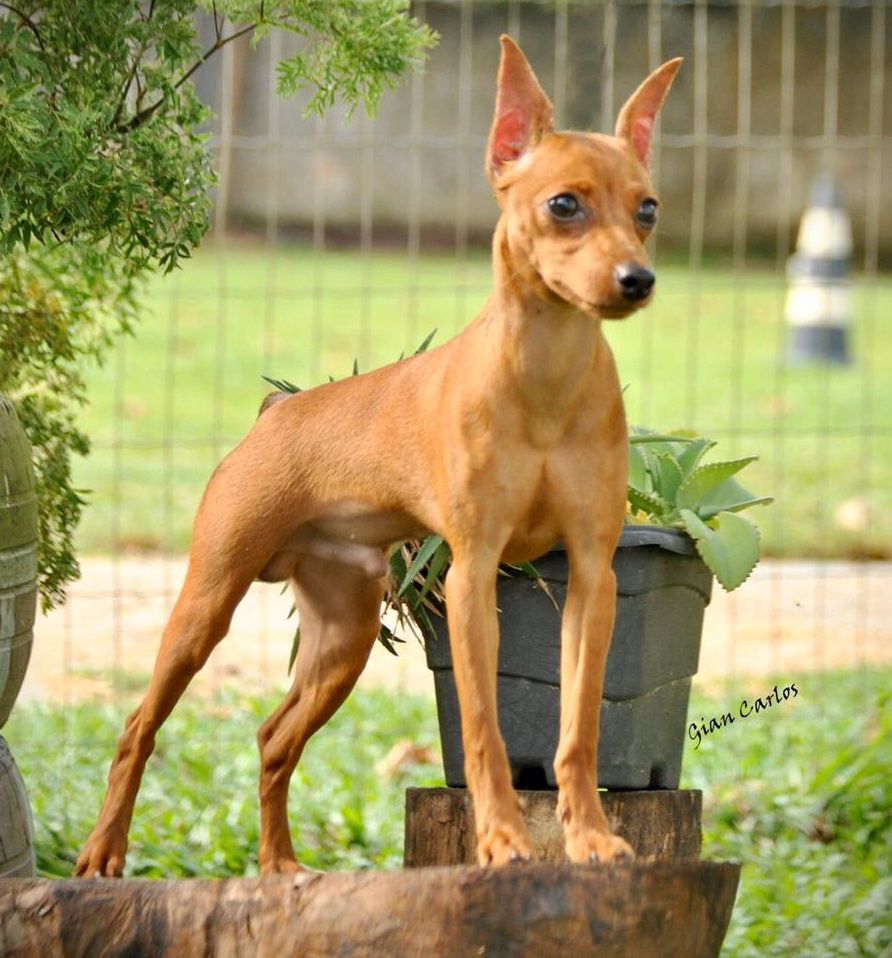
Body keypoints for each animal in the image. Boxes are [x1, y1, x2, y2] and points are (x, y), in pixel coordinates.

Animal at [75, 37, 684, 876]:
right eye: (564, 205)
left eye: (647, 209)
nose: (637, 279)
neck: (543, 383)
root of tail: (278, 413)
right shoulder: (472, 576)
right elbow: (486, 732)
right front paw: (501, 840)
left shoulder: (595, 577)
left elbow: (579, 730)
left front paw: (589, 836)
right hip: (207, 605)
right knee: (140, 726)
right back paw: (105, 852)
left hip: (343, 640)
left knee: (272, 740)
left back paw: (278, 867)